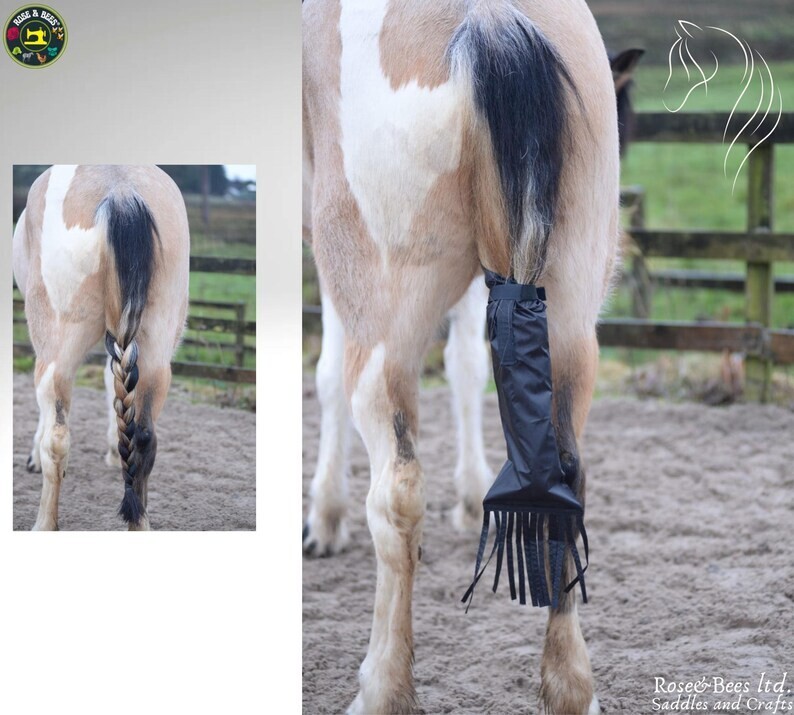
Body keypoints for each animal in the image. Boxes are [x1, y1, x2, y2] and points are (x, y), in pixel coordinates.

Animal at [13, 165, 190, 531]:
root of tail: (120, 190)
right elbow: (116, 389)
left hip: (57, 347)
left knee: (57, 436)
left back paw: (44, 524)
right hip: (155, 352)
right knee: (144, 436)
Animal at [303, 0, 621, 710]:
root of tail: (489, 18)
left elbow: (324, 378)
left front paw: (324, 517)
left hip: (381, 318)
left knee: (397, 489)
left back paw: (384, 687)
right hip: (569, 320)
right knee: (569, 474)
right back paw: (570, 687)